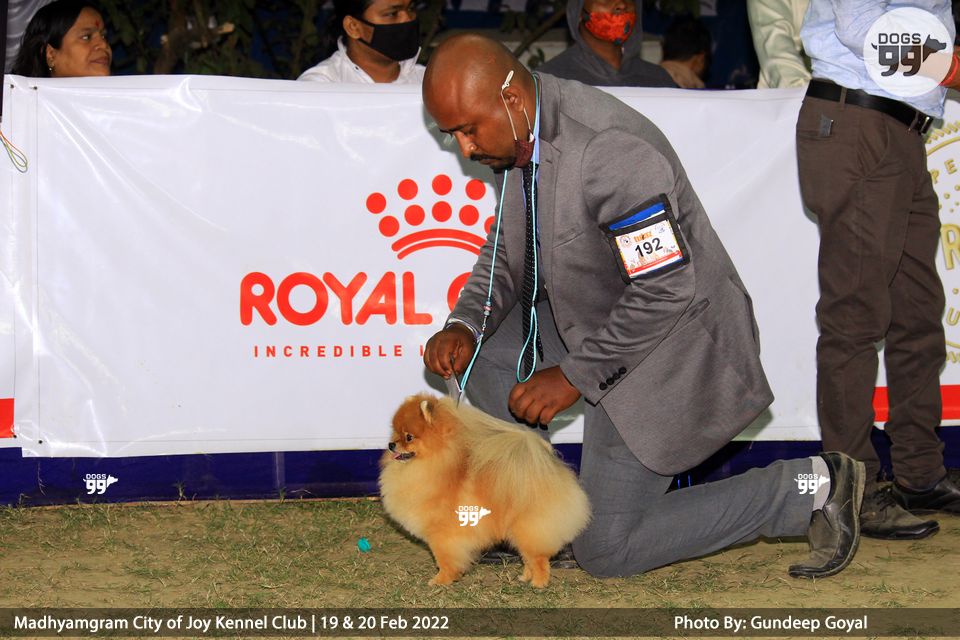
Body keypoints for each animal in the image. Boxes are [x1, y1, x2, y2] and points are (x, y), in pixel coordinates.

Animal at [379, 393, 591, 587]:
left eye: (409, 437)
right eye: (395, 433)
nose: (391, 444)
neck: (438, 463)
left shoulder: (443, 535)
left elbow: (445, 560)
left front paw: (441, 580)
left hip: (529, 528)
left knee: (538, 559)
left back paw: (538, 583)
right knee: (529, 558)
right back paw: (525, 577)